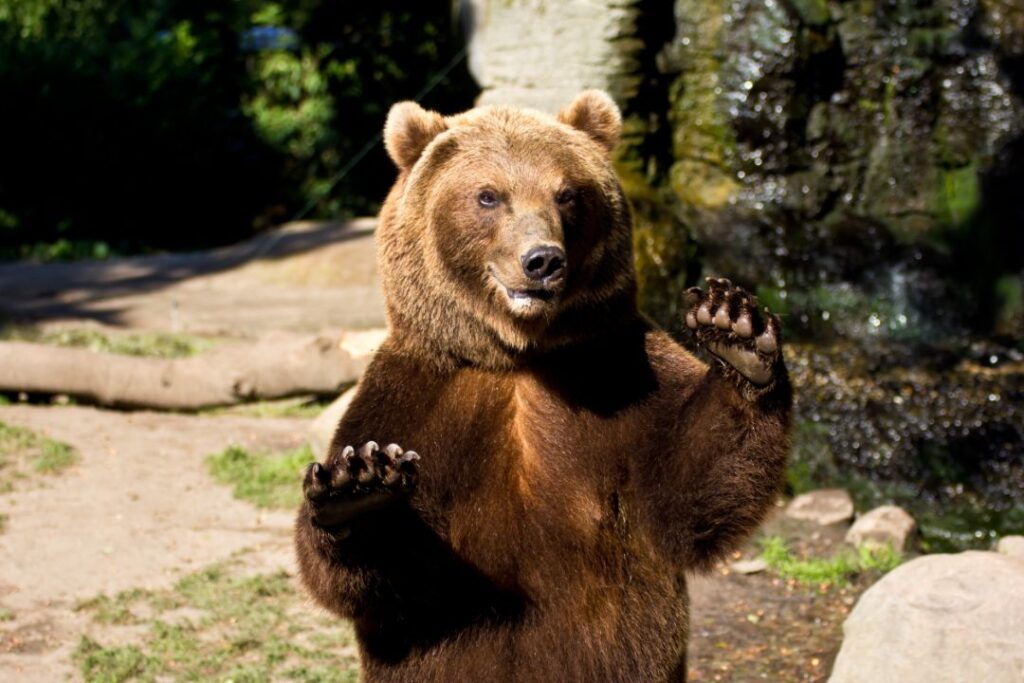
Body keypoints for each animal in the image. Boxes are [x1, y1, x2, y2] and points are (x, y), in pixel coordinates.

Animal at [294, 90, 792, 682]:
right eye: (488, 195)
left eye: (568, 193)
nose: (542, 260)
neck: (520, 354)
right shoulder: (417, 395)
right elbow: (369, 573)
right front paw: (357, 490)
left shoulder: (615, 371)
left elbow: (684, 494)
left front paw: (735, 329)